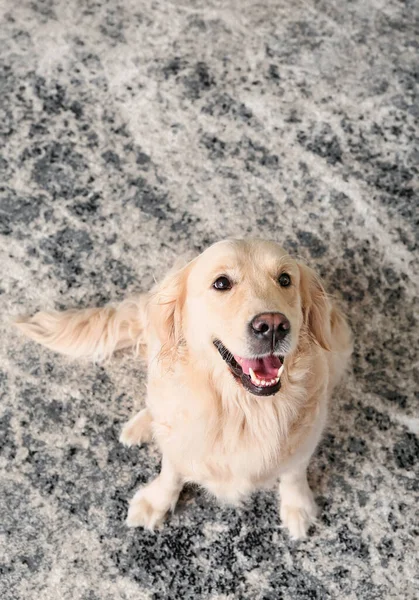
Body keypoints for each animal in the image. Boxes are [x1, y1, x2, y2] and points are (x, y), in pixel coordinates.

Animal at [16, 239, 352, 540]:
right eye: (221, 283)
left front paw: (298, 507)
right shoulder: (178, 440)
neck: (243, 410)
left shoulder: (307, 438)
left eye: (285, 279)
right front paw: (156, 502)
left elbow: (294, 472)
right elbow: (171, 470)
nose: (272, 325)